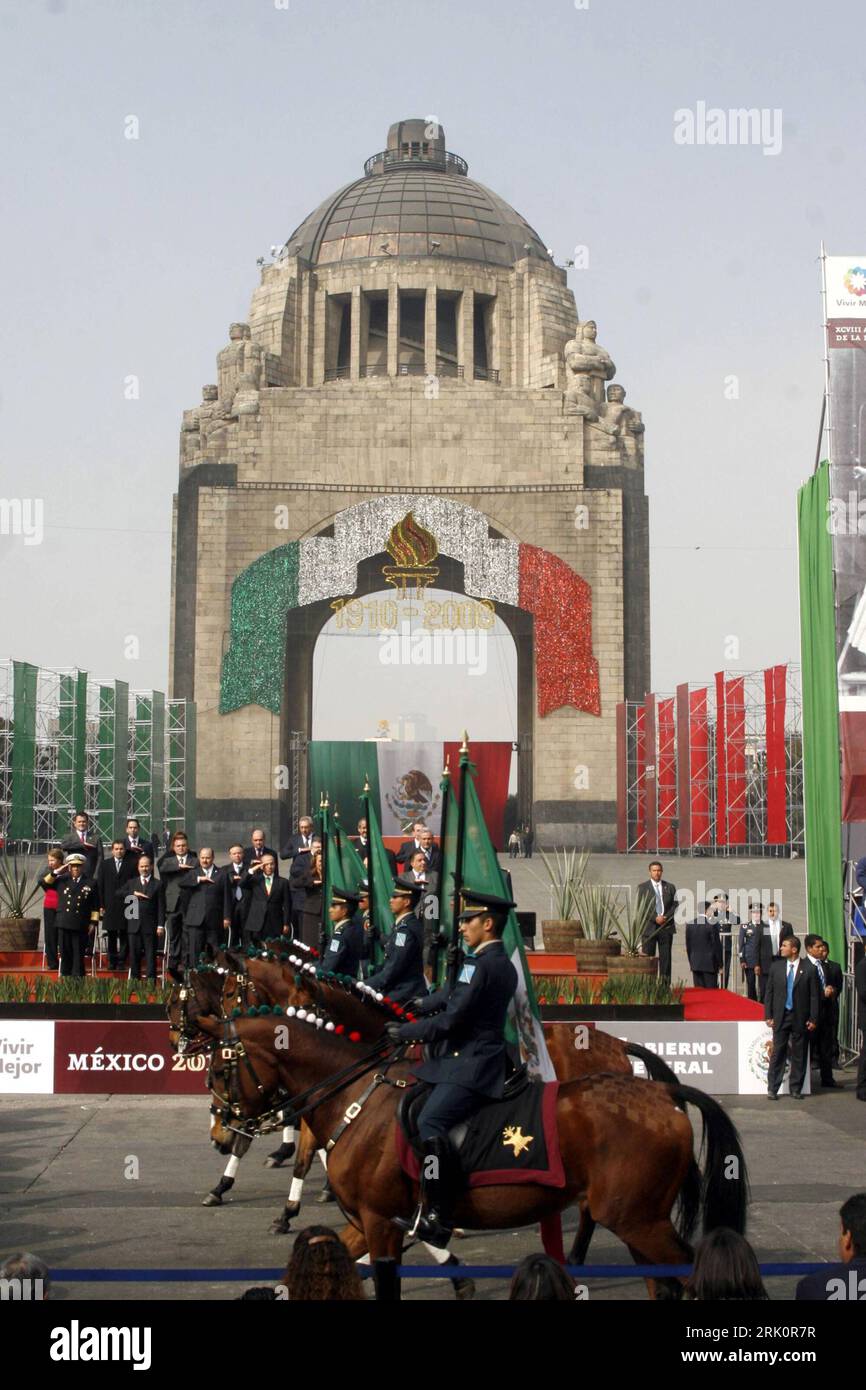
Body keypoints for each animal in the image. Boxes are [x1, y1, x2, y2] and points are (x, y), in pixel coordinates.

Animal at [200, 1011, 750, 1289]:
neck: (358, 1098)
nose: (223, 1133)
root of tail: (661, 1095)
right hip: (638, 1221)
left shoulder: (380, 1222)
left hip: (640, 1220)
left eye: (222, 1070)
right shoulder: (372, 1223)